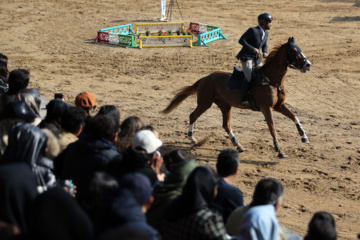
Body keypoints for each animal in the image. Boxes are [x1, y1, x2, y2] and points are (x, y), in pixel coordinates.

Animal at [162, 37, 310, 158]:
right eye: (294, 50)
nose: (308, 64)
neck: (272, 80)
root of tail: (205, 78)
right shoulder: (266, 108)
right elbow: (272, 128)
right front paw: (279, 150)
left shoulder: (279, 105)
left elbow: (294, 117)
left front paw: (304, 136)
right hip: (205, 103)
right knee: (193, 116)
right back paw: (192, 139)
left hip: (225, 105)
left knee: (226, 125)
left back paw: (237, 145)